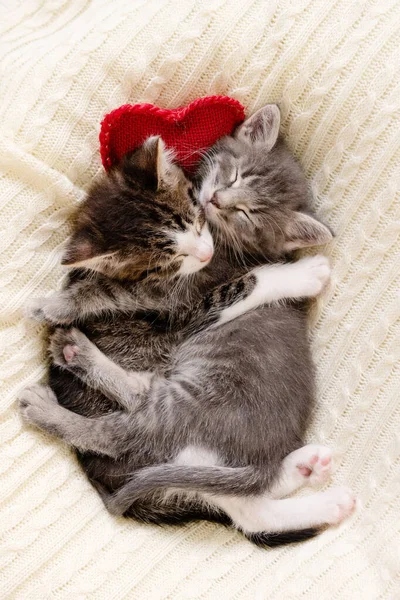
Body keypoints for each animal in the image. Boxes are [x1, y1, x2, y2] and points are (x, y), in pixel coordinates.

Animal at [20, 105, 354, 548]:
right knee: (230, 488)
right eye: (234, 176)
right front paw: (55, 303)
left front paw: (302, 273)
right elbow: (106, 287)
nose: (216, 199)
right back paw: (306, 471)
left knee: (132, 430)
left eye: (247, 213)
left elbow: (246, 283)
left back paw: (62, 376)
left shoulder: (184, 305)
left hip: (186, 402)